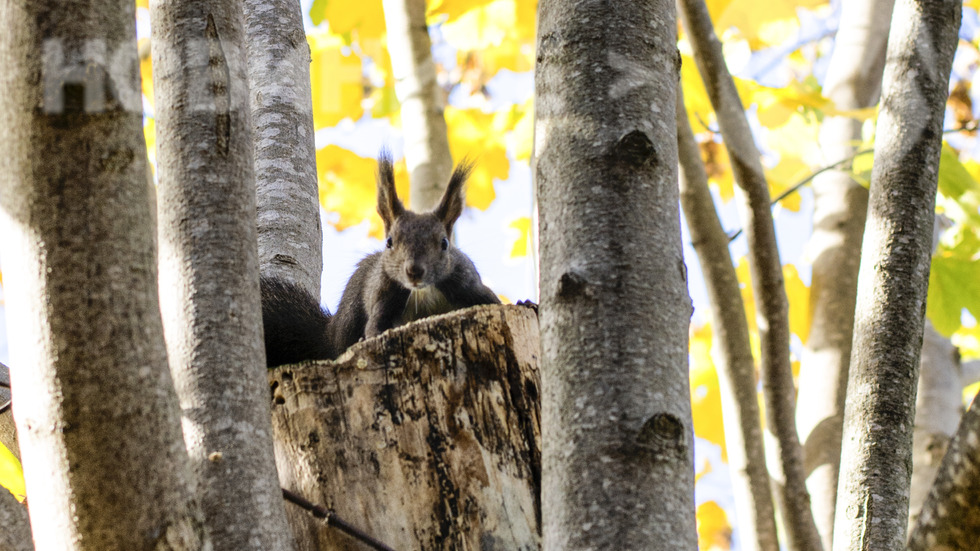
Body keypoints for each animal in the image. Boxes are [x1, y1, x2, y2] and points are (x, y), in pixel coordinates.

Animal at [260, 149, 502, 368]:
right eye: (389, 242)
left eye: (444, 243)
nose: (414, 271)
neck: (422, 292)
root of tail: (330, 334)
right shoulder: (383, 295)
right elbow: (375, 327)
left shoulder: (466, 284)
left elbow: (490, 300)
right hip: (350, 312)